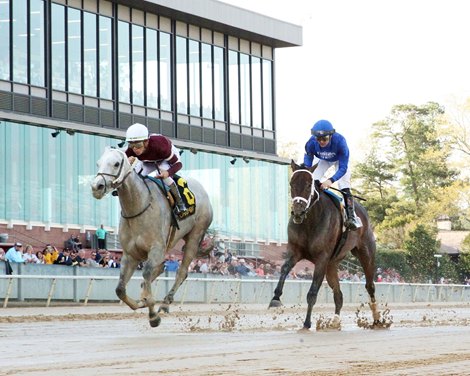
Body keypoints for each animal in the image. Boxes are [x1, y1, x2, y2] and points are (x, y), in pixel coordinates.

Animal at [89, 148, 213, 328]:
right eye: (98, 163)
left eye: (116, 164)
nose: (96, 186)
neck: (139, 206)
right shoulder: (130, 255)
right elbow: (120, 289)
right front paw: (141, 302)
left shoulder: (156, 248)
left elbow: (147, 273)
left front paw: (153, 315)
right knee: (159, 269)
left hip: (194, 236)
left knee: (181, 272)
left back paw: (165, 303)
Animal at [268, 160, 378, 330]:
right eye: (291, 183)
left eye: (309, 185)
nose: (298, 212)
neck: (309, 221)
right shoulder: (295, 251)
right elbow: (284, 269)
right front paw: (275, 298)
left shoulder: (322, 258)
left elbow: (312, 292)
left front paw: (307, 323)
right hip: (332, 265)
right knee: (339, 295)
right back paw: (335, 321)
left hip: (365, 253)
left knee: (370, 286)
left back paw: (378, 320)